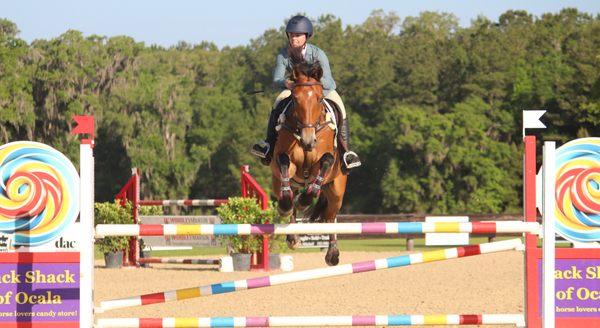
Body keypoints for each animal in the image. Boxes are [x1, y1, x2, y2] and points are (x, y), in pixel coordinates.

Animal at [270, 60, 346, 266]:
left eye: (319, 99)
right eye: (295, 99)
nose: (308, 141)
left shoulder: (324, 162)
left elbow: (326, 161)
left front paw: (305, 200)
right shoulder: (284, 160)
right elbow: (284, 161)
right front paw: (287, 205)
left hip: (337, 190)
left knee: (330, 217)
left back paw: (332, 254)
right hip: (278, 183)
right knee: (288, 194)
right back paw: (292, 235)